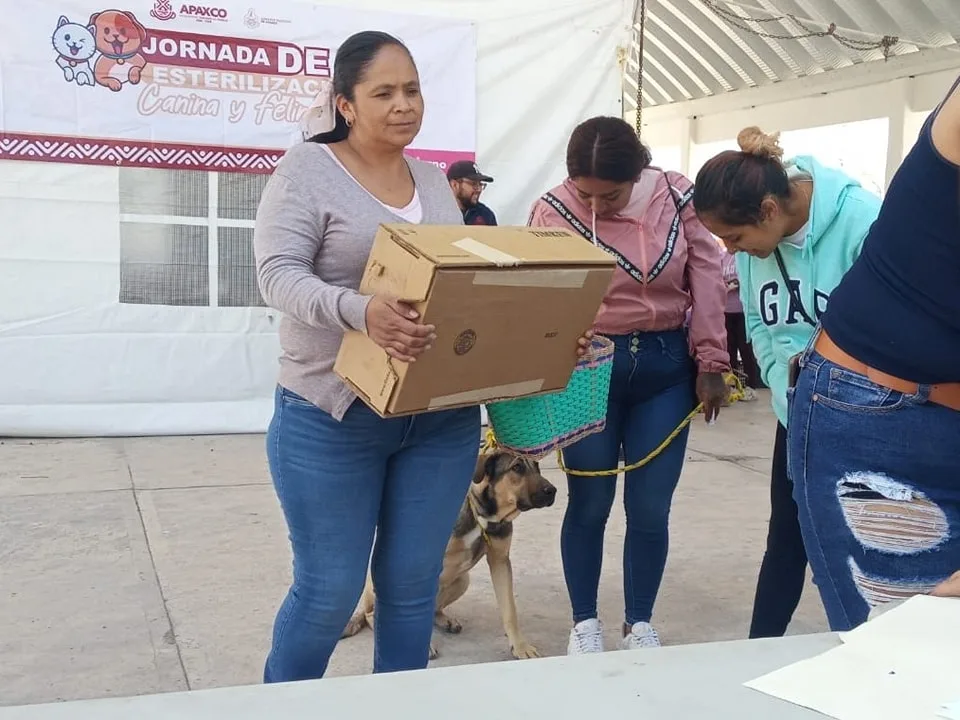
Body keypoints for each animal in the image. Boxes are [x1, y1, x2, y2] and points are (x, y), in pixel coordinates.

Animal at [344, 450, 556, 660]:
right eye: (517, 467)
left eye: (537, 467)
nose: (552, 491)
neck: (484, 517)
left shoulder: (500, 561)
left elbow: (510, 610)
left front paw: (520, 647)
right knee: (372, 615)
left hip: (463, 580)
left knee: (433, 610)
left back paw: (445, 620)